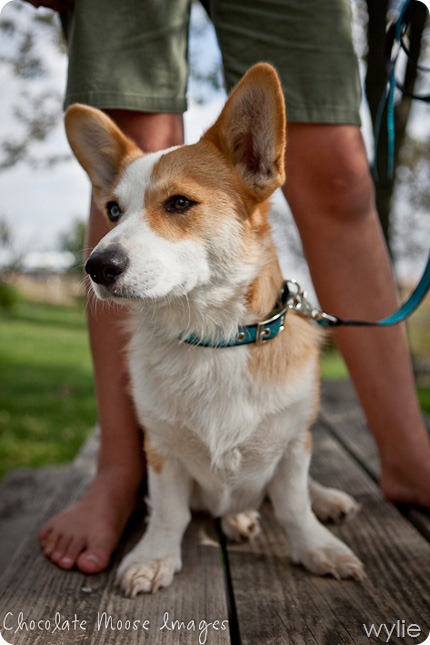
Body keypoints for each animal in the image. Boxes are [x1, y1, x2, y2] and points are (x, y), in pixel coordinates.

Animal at [65, 63, 364, 596]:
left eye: (180, 203)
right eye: (114, 212)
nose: (96, 267)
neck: (213, 338)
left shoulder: (293, 443)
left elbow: (293, 503)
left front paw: (318, 548)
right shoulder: (160, 449)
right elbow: (169, 511)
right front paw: (154, 558)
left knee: (301, 490)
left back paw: (325, 500)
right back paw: (238, 519)